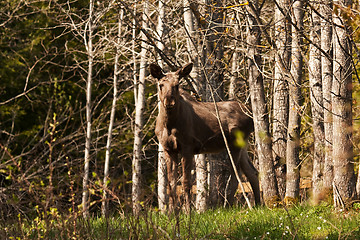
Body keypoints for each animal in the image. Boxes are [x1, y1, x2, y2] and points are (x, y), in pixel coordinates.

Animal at [150, 62, 260, 212]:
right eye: (161, 84)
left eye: (177, 85)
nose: (169, 102)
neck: (169, 124)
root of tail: (251, 116)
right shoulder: (168, 149)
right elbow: (171, 184)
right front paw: (171, 213)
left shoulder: (187, 147)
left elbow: (186, 182)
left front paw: (188, 212)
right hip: (243, 143)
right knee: (252, 172)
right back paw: (260, 204)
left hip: (235, 143)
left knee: (235, 174)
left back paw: (227, 206)